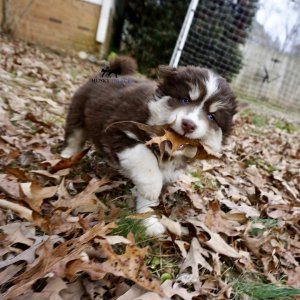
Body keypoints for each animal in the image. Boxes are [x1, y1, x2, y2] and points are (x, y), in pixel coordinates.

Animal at [62, 55, 238, 234]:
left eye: (211, 116)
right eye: (185, 99)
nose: (188, 124)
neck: (167, 147)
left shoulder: (170, 169)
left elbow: (149, 200)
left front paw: (148, 221)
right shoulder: (117, 129)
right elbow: (144, 158)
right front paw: (151, 187)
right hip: (79, 111)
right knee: (74, 136)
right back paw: (67, 157)